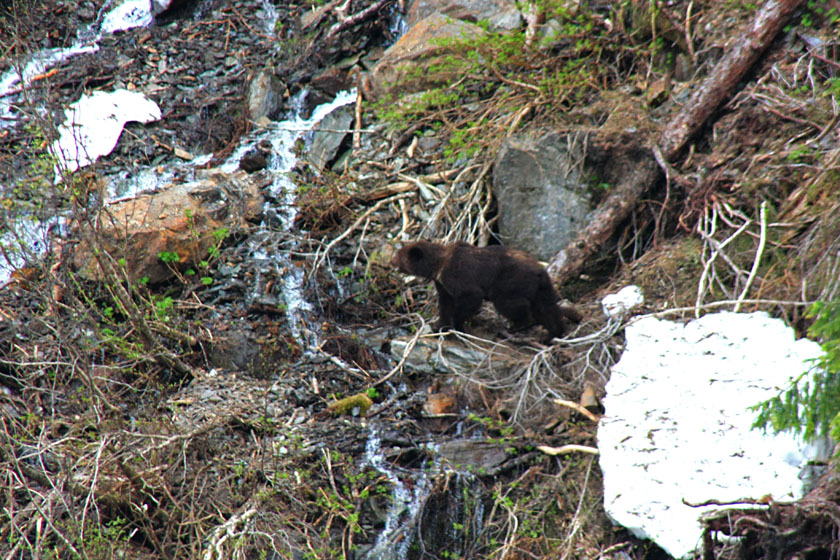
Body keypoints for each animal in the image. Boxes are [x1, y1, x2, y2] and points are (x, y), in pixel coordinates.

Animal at [392, 241, 576, 336]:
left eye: (398, 256)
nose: (391, 261)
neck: (438, 266)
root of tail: (540, 271)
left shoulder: (457, 274)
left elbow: (471, 296)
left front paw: (457, 324)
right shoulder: (442, 283)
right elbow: (445, 303)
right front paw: (440, 325)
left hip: (509, 281)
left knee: (508, 303)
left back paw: (518, 325)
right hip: (542, 288)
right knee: (547, 308)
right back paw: (555, 333)